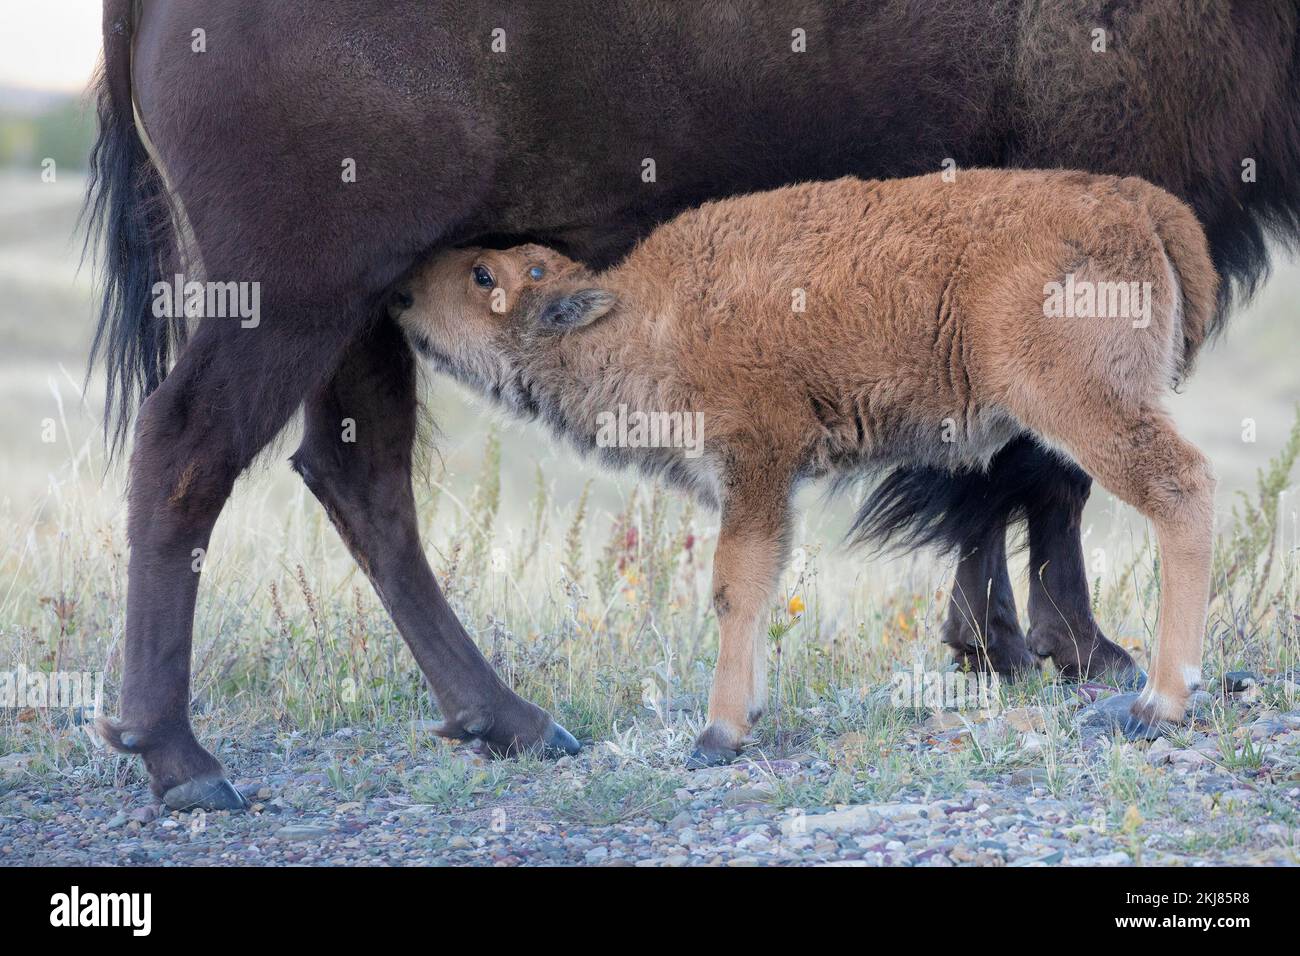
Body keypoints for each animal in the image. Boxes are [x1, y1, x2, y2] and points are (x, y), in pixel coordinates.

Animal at [392, 167, 1216, 764]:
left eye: (483, 276)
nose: (400, 292)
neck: (641, 317)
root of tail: (1136, 200)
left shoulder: (755, 463)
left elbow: (736, 585)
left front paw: (717, 734)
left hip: (1087, 407)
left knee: (1182, 492)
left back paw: (1156, 705)